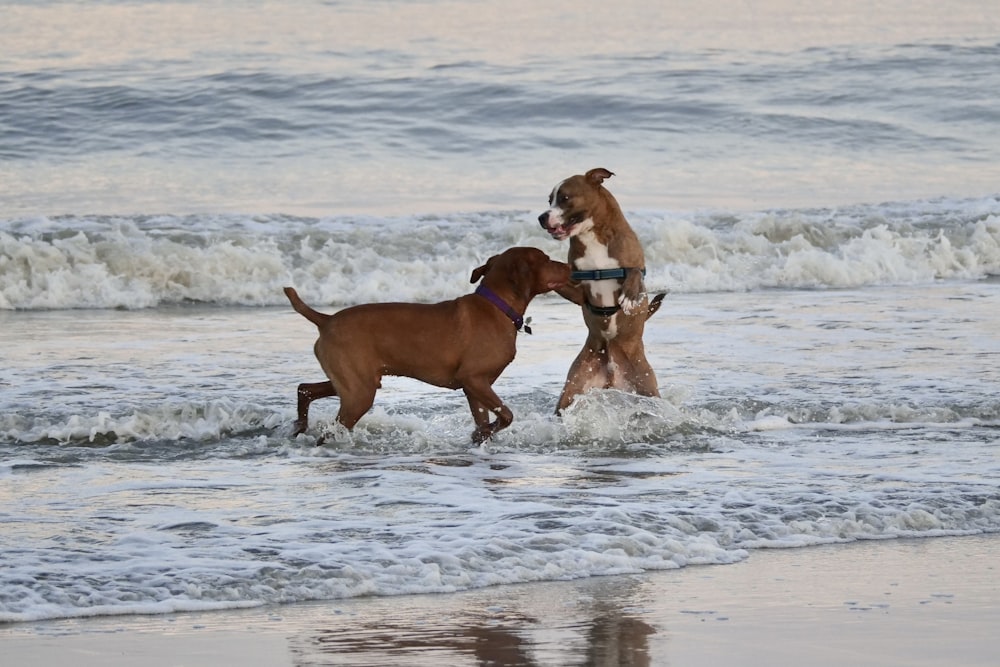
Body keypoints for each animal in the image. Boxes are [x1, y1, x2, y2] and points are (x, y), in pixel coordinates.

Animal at [540, 167, 664, 412]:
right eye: (550, 200)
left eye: (564, 198)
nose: (542, 217)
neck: (592, 235)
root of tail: (611, 371)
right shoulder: (577, 288)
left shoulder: (638, 269)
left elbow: (634, 273)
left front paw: (629, 296)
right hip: (576, 383)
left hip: (646, 385)